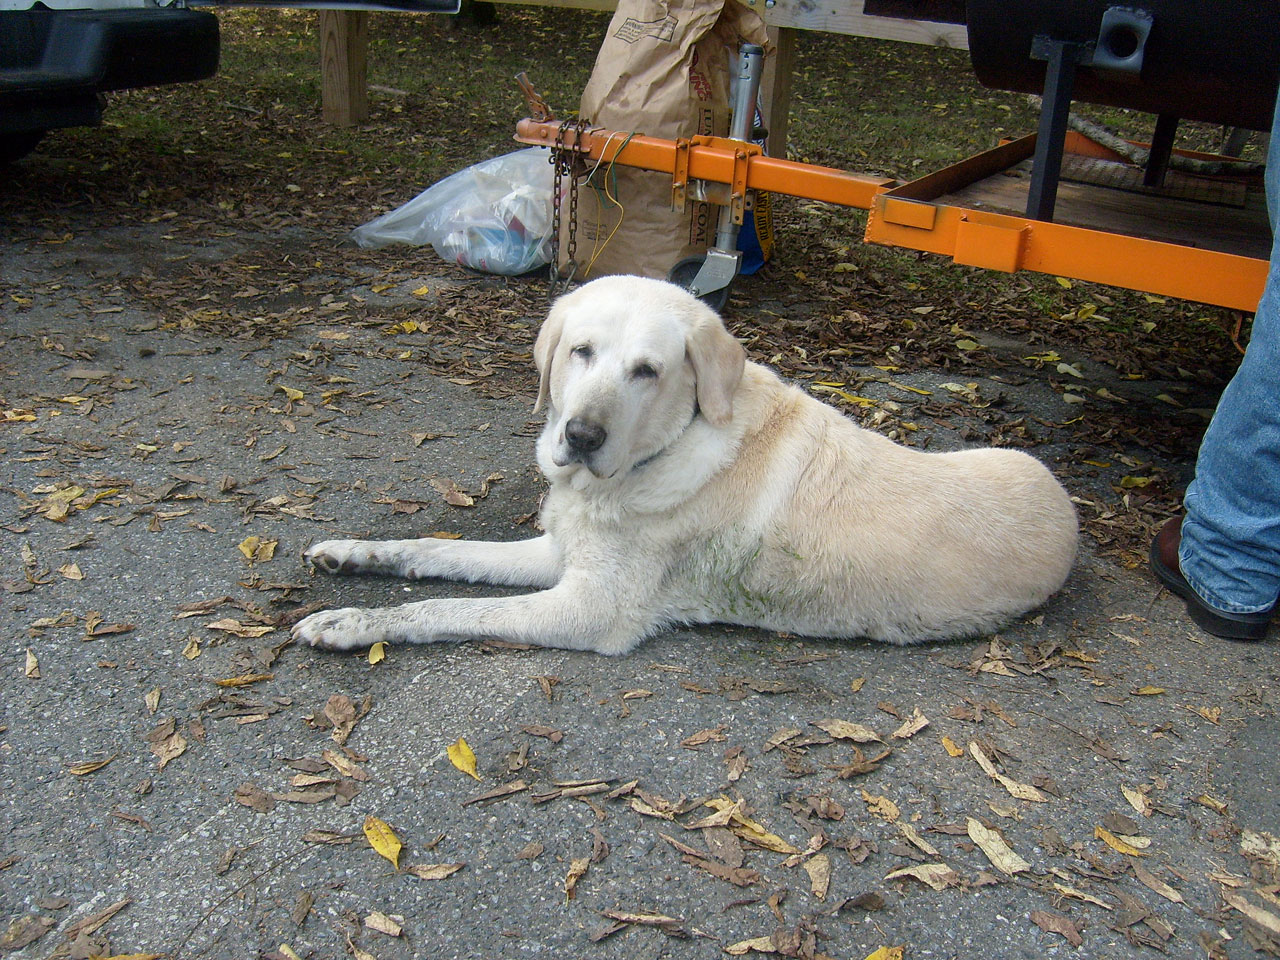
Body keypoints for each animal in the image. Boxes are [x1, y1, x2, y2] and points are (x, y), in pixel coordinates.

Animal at [293, 273, 1080, 660]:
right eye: (580, 351)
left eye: (647, 371)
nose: (580, 436)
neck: (654, 457)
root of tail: (1070, 512)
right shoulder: (562, 552)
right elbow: (435, 549)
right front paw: (352, 554)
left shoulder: (591, 609)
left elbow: (447, 608)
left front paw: (351, 623)